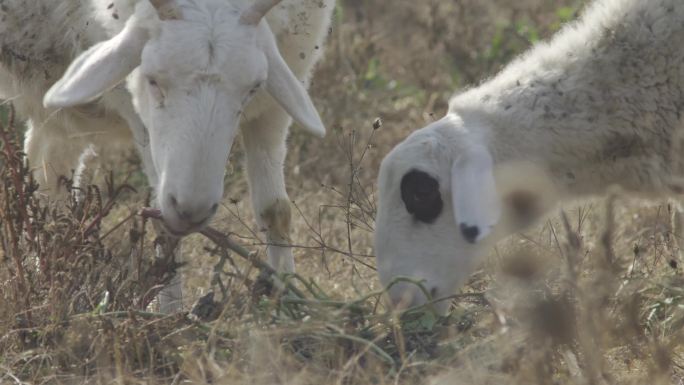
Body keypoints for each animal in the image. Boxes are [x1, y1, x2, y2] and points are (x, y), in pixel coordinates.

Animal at [0, 0, 334, 312]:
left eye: (252, 88)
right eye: (152, 80)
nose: (192, 210)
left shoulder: (276, 101)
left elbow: (275, 210)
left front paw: (287, 300)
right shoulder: (134, 107)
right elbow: (163, 223)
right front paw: (168, 314)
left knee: (47, 171)